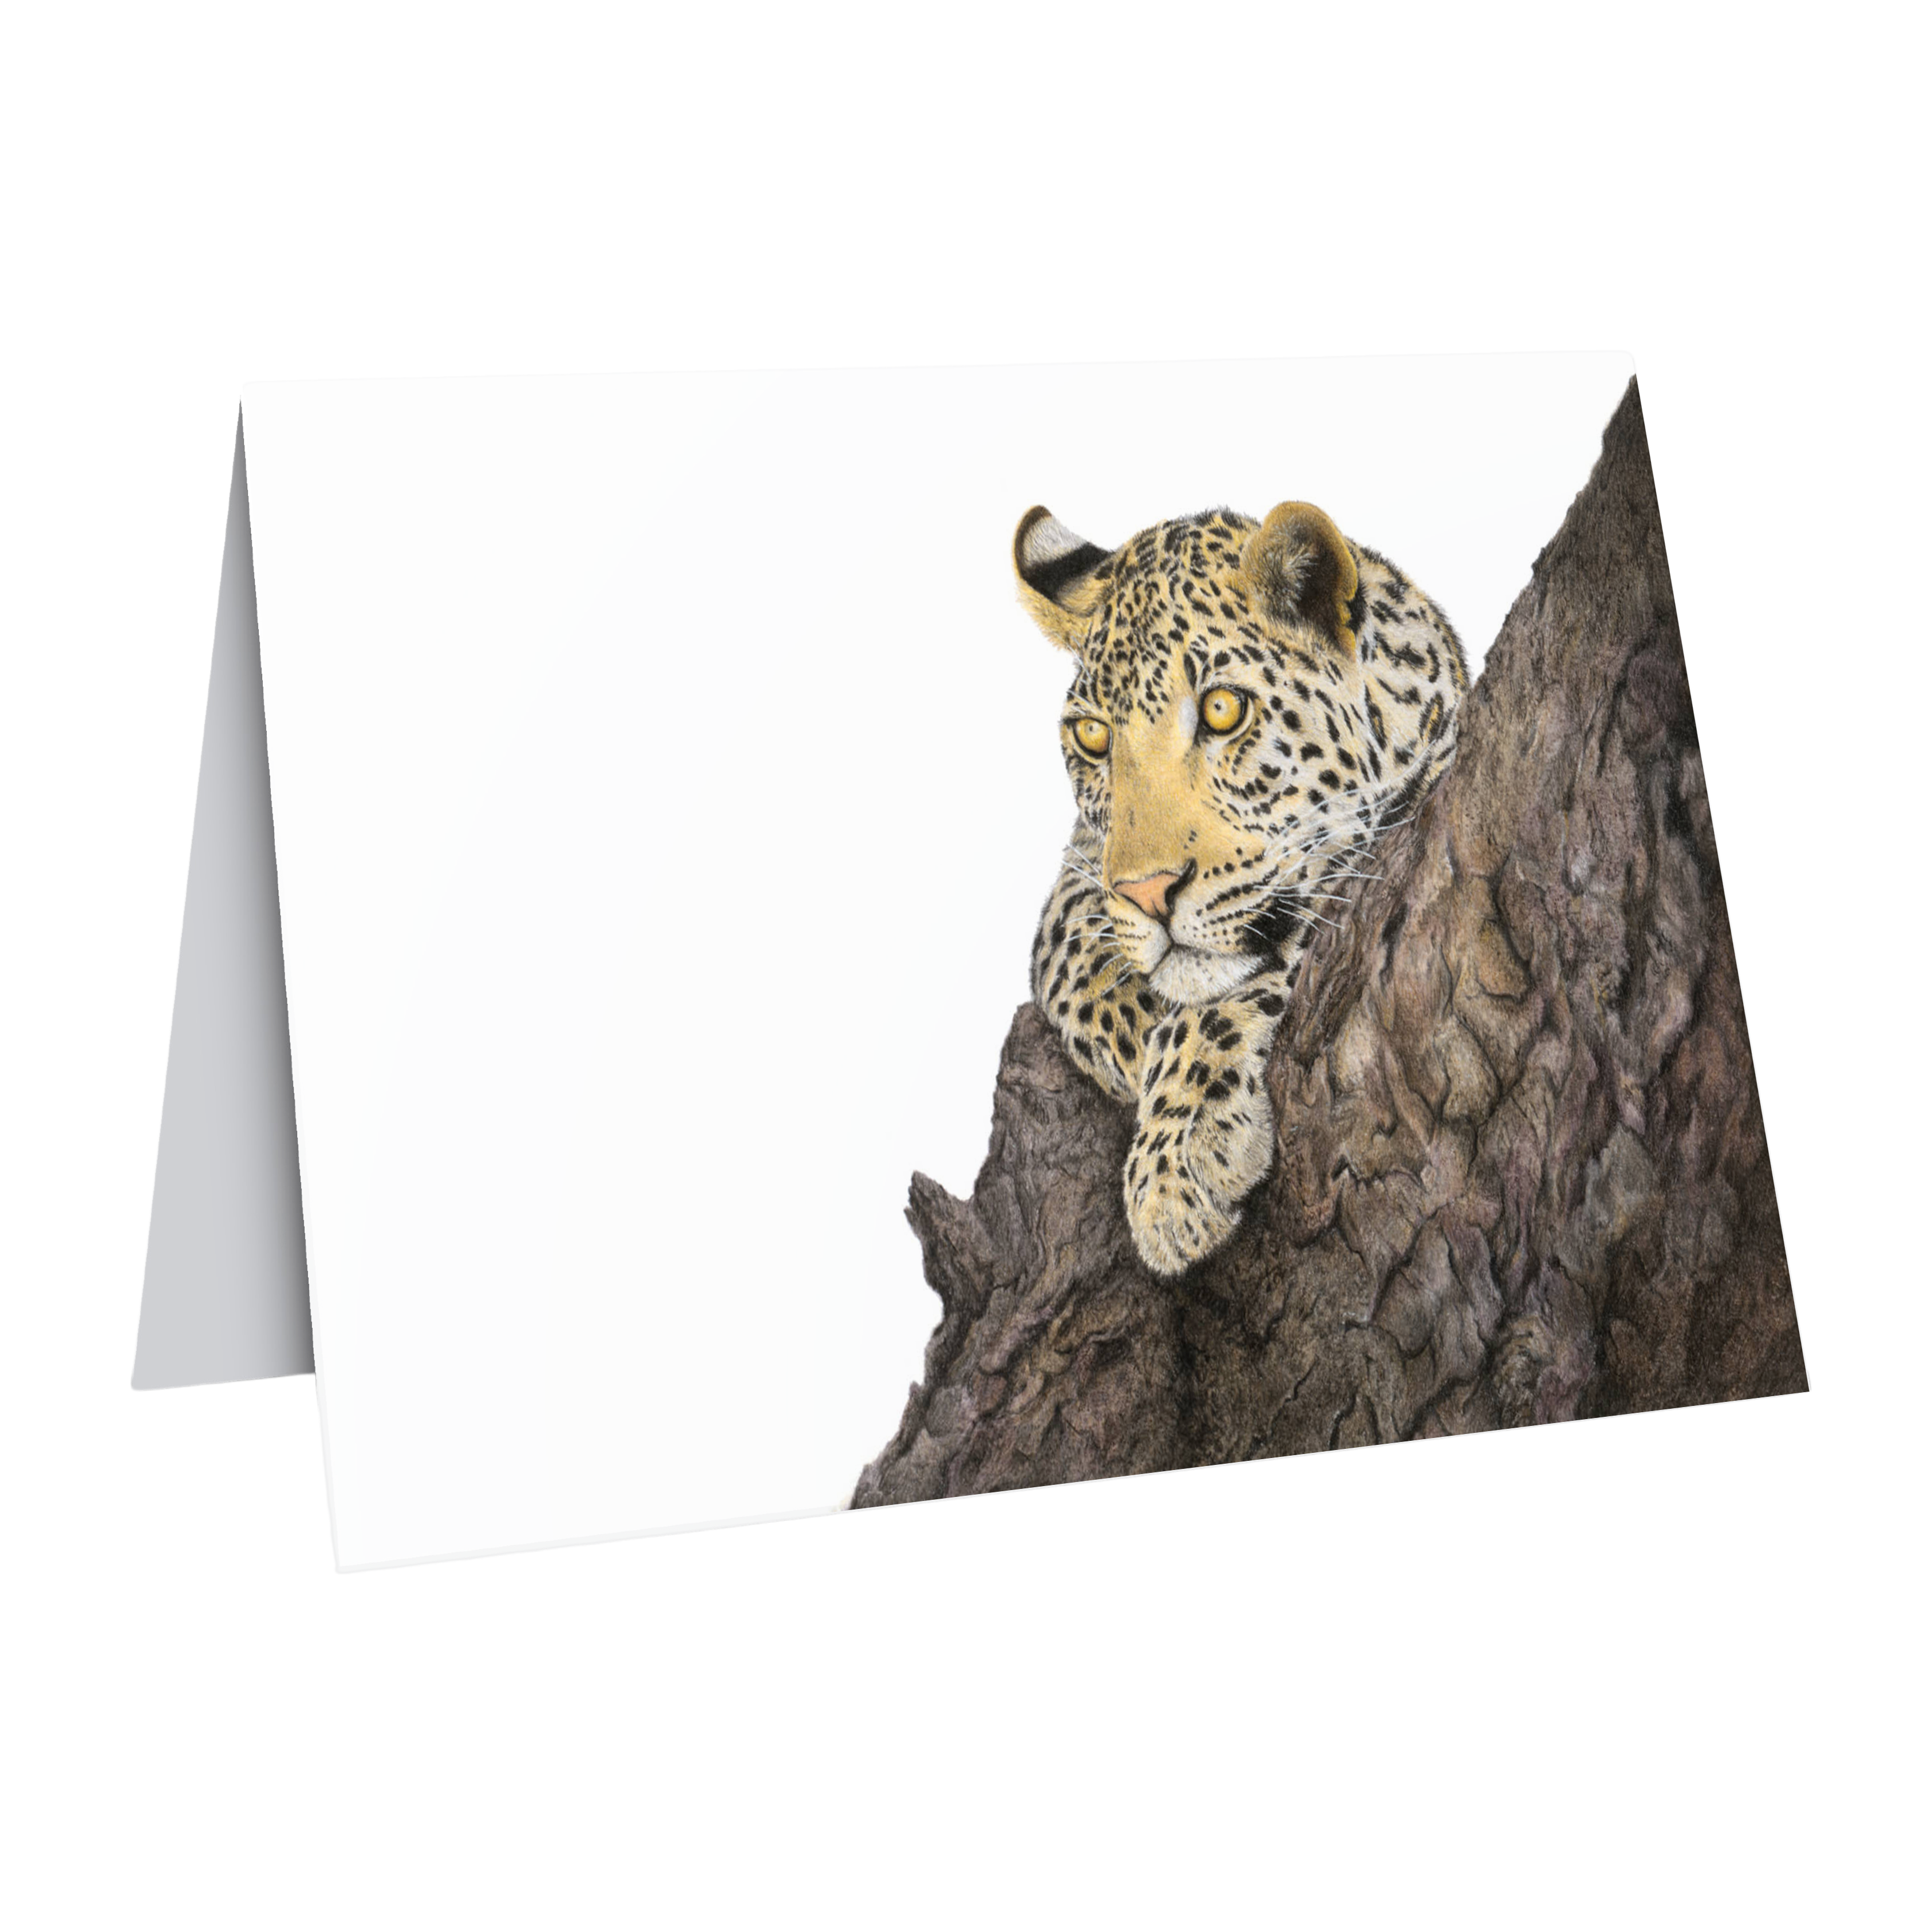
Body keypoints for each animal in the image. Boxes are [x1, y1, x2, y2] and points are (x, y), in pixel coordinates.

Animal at [1014, 498, 1469, 1277]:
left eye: (1223, 711)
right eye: (1095, 739)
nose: (1149, 893)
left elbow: (1258, 956)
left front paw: (1175, 1158)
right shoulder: (1082, 872)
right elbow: (1071, 947)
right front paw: (1139, 1042)